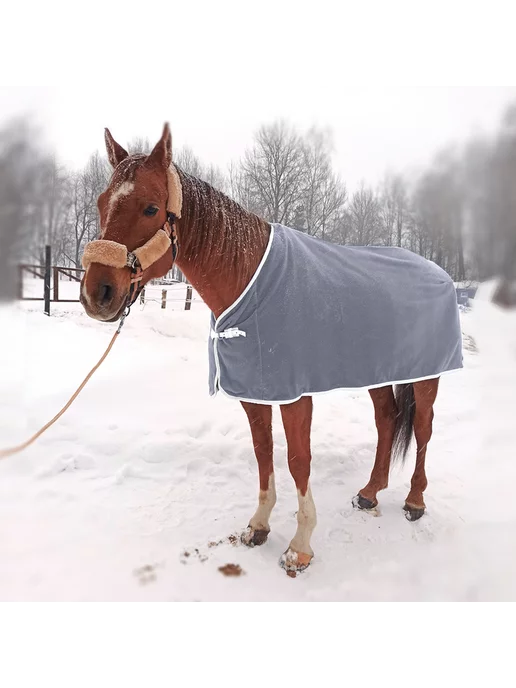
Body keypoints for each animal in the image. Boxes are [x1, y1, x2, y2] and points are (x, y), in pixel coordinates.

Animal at [80, 123, 461, 576]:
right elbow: (264, 453)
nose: (97, 293)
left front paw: (300, 546)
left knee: (422, 427)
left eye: (151, 208)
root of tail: (438, 272)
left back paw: (415, 501)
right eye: (102, 202)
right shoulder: (254, 394)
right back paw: (369, 493)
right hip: (379, 373)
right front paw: (258, 526)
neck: (253, 283)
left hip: (426, 375)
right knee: (386, 420)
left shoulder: (296, 396)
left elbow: (298, 460)